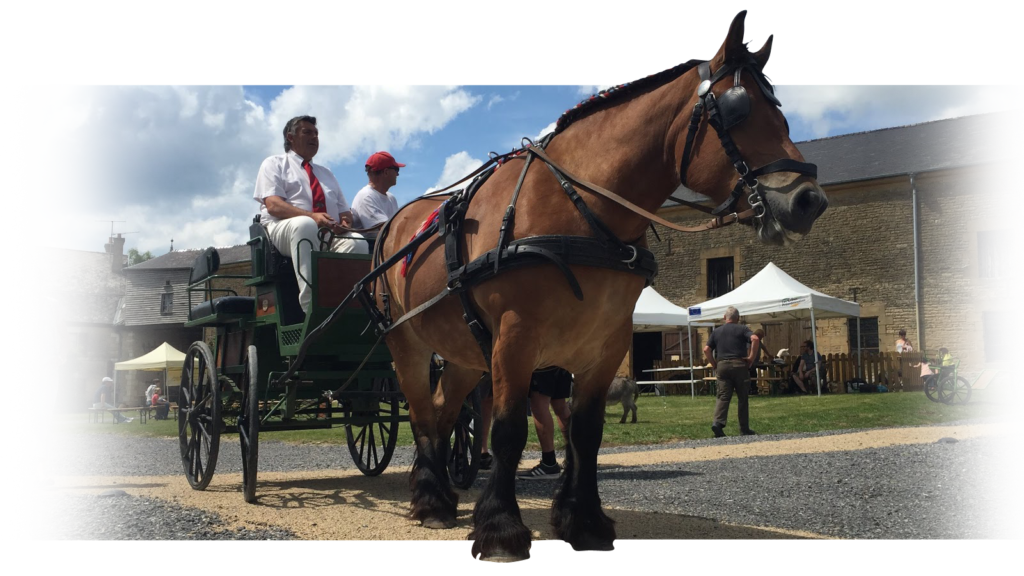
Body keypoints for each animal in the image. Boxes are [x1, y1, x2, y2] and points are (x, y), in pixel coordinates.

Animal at [372, 8, 827, 557]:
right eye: (738, 110)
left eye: (782, 114)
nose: (809, 201)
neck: (582, 212)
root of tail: (394, 224)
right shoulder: (515, 339)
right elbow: (507, 432)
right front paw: (500, 527)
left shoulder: (606, 341)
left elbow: (585, 432)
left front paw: (583, 520)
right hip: (408, 344)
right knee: (421, 413)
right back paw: (431, 500)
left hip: (464, 352)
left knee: (443, 412)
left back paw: (439, 492)